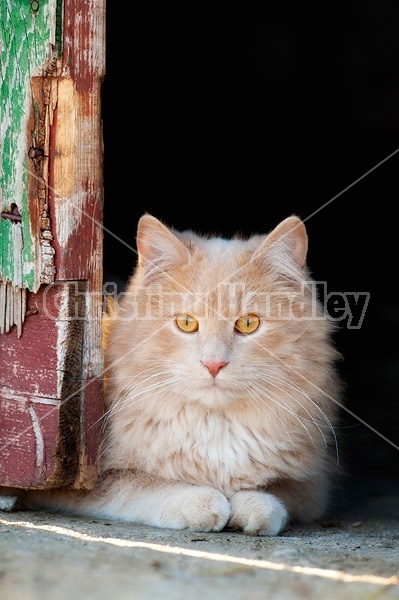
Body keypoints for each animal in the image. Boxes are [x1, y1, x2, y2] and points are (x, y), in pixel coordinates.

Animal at [20, 213, 342, 536]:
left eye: (248, 324)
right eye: (187, 323)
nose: (214, 364)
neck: (214, 426)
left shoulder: (313, 486)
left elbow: (274, 495)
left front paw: (251, 506)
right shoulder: (79, 483)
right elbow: (151, 488)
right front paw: (203, 502)